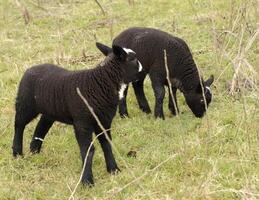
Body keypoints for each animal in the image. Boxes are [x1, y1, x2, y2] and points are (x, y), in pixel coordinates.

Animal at [12, 42, 144, 186]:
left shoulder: (104, 121)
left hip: (50, 110)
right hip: (26, 103)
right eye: (133, 59)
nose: (143, 72)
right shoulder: (82, 123)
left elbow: (106, 145)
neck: (100, 84)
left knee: (41, 126)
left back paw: (34, 151)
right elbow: (88, 151)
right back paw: (17, 153)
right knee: (19, 124)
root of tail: (31, 68)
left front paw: (113, 169)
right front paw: (87, 181)